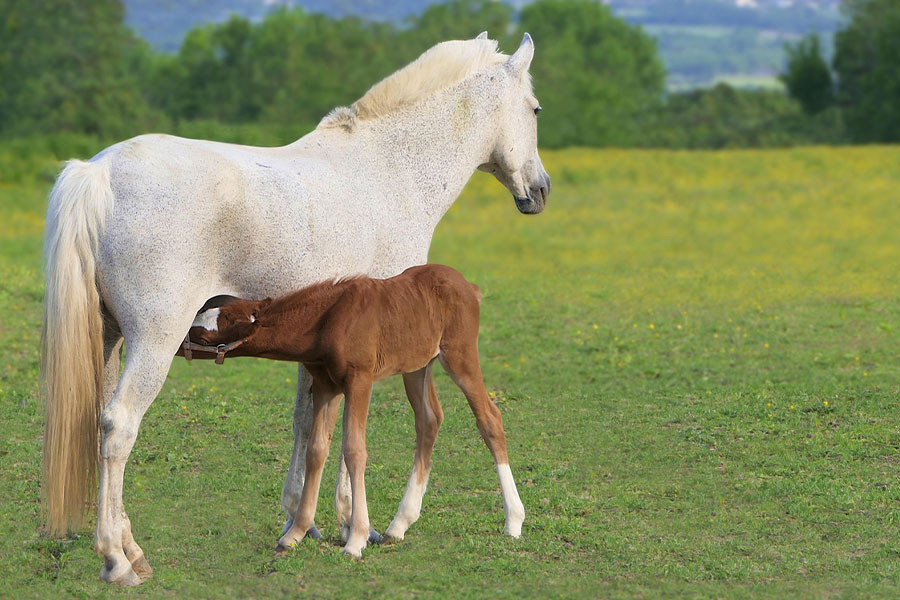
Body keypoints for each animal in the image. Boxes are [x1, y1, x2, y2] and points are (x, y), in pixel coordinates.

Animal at [185, 264, 525, 558]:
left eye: (203, 334)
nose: (179, 344)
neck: (327, 320)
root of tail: (469, 286)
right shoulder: (326, 385)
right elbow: (317, 449)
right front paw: (295, 533)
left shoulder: (359, 380)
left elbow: (354, 450)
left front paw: (356, 539)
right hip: (417, 365)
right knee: (429, 420)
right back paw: (398, 525)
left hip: (459, 355)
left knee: (489, 419)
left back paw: (513, 521)